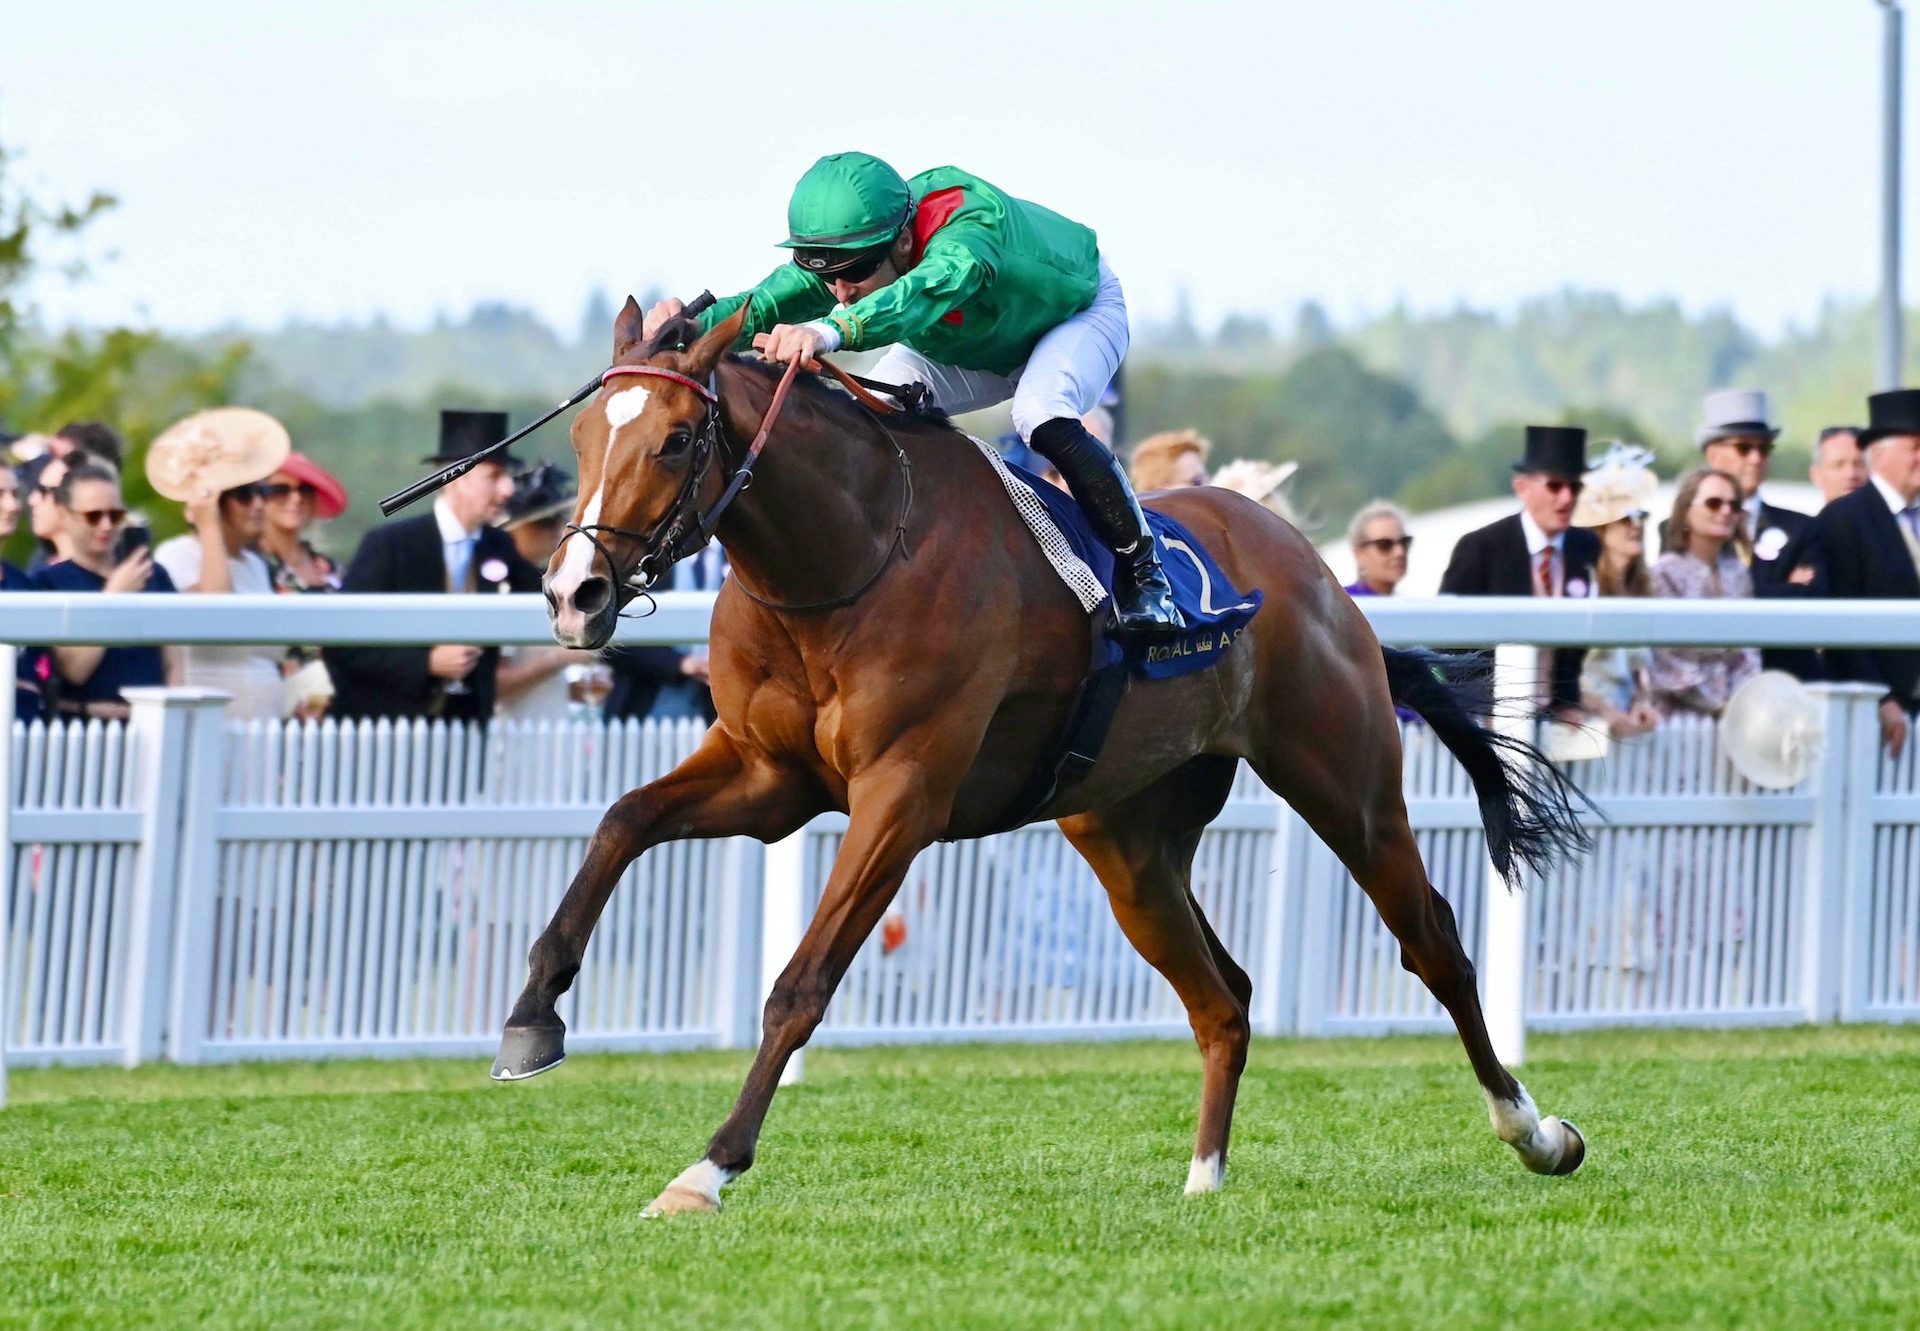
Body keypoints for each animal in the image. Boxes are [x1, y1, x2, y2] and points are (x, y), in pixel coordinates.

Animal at [495, 301, 1589, 1213]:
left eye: (677, 438)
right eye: (584, 436)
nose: (575, 593)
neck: (852, 552)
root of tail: (1313, 567)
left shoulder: (902, 795)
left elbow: (800, 985)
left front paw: (709, 1167)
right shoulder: (770, 776)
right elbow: (622, 820)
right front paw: (532, 1019)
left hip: (1344, 781)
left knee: (1433, 942)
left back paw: (1535, 1130)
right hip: (1127, 839)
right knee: (1224, 995)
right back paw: (1203, 1175)